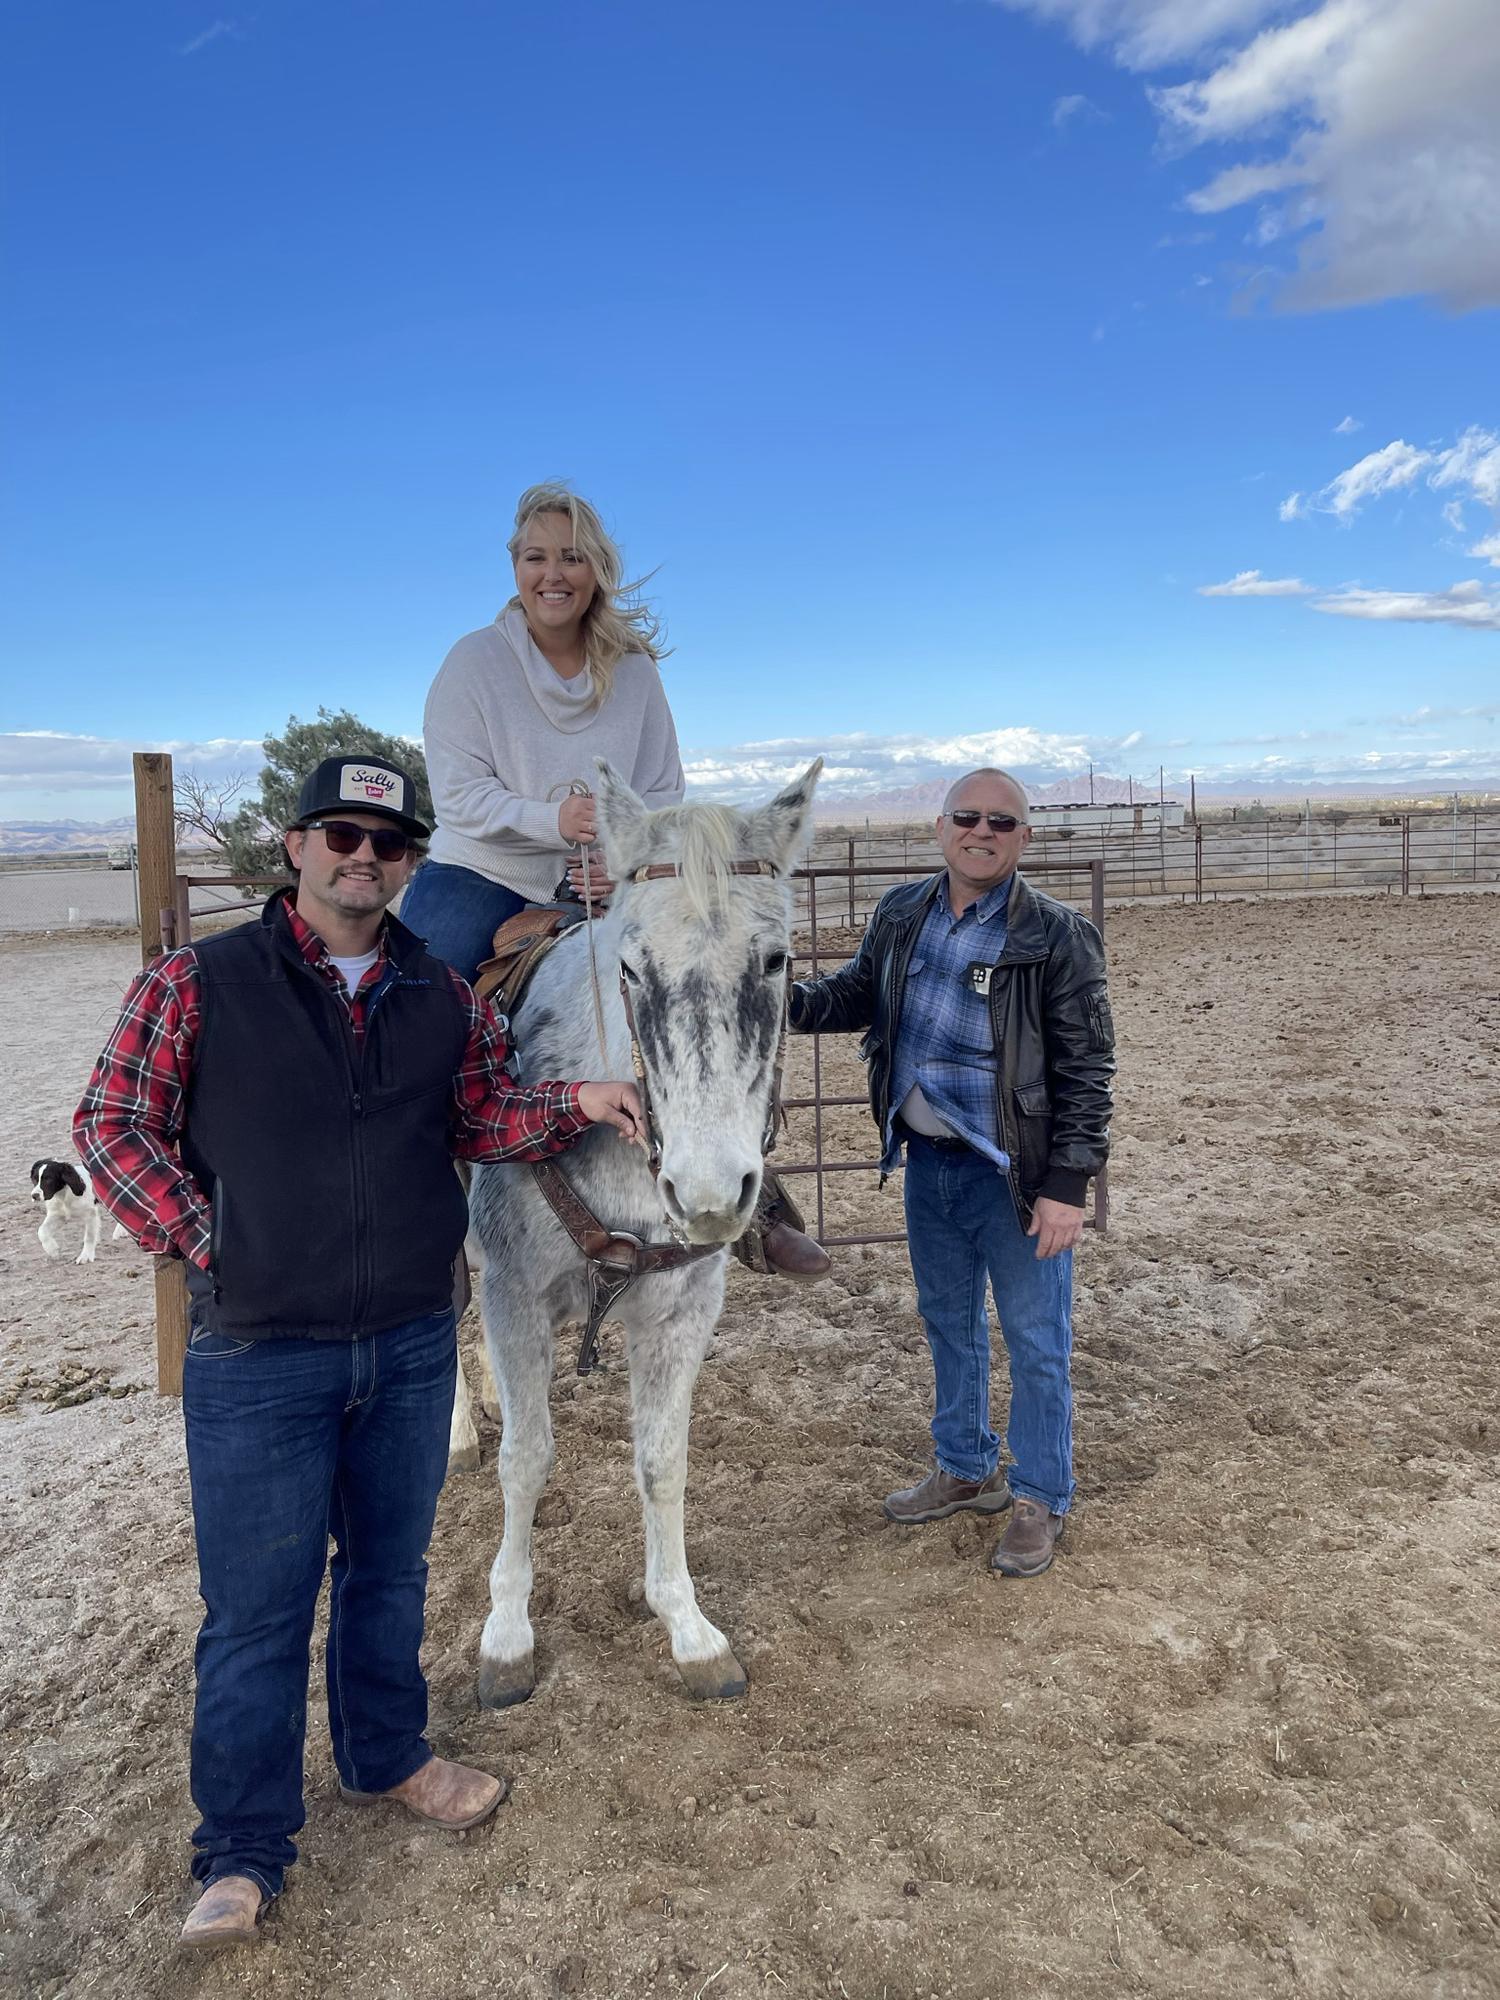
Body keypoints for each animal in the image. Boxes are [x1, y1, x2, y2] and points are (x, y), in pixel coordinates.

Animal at [468, 756, 824, 1712]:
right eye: (630, 966)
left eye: (776, 959)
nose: (707, 1195)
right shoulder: (511, 1296)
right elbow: (526, 1457)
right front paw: (506, 1636)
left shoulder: (681, 1310)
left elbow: (662, 1461)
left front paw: (687, 1627)